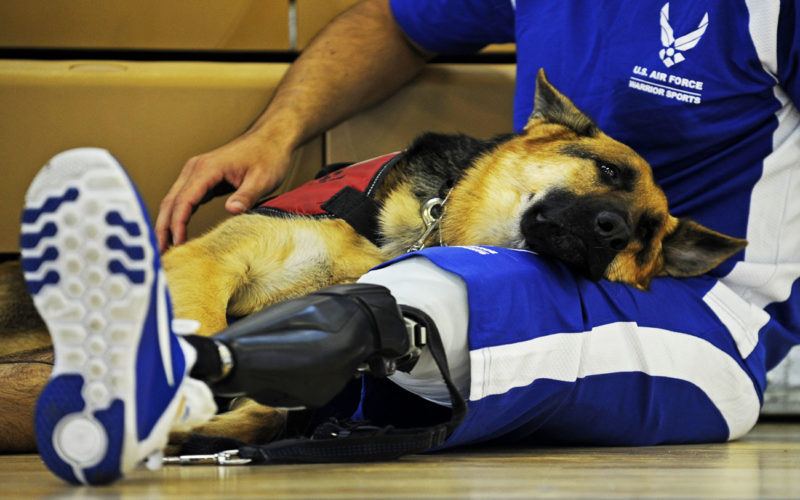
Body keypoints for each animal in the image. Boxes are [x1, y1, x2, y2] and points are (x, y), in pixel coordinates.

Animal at [3, 69, 748, 446]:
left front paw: (221, 425)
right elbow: (207, 335)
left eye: (645, 236)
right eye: (607, 171)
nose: (610, 231)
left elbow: (269, 402)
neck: (424, 230)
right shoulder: (206, 266)